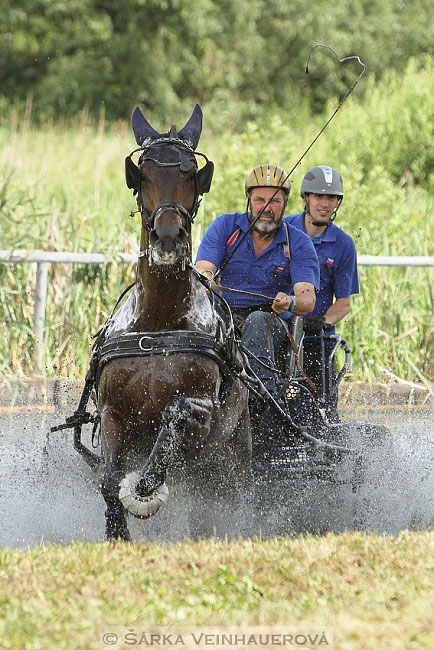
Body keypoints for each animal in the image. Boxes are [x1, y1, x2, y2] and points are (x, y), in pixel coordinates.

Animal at [82, 106, 251, 540]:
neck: (158, 324)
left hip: (231, 458)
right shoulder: (113, 412)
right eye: (142, 174)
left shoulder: (204, 414)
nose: (168, 237)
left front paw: (146, 484)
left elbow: (175, 415)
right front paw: (118, 534)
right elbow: (109, 480)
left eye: (191, 175)